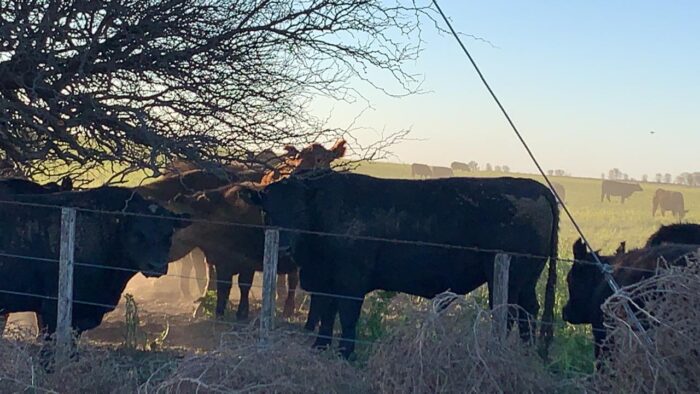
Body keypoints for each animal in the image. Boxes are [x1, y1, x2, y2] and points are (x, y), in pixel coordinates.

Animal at [243, 172, 560, 358]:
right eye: (268, 210)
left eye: (300, 210)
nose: (283, 247)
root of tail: (537, 187)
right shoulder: (324, 280)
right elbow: (326, 312)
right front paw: (320, 347)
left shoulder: (351, 280)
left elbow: (346, 315)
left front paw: (346, 353)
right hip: (526, 280)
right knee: (528, 312)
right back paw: (528, 354)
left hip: (508, 279)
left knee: (509, 314)